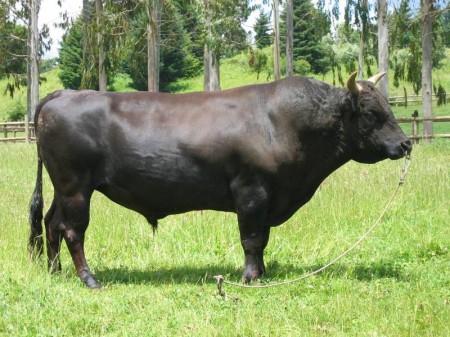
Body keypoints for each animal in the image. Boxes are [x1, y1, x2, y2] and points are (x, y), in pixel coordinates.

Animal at [29, 72, 412, 288]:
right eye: (371, 113)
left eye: (389, 107)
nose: (406, 144)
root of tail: (63, 94)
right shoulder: (252, 191)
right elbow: (252, 239)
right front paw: (251, 277)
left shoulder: (270, 197)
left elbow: (263, 240)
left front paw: (262, 273)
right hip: (76, 186)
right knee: (73, 231)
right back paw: (88, 278)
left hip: (64, 188)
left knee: (50, 223)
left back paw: (54, 271)